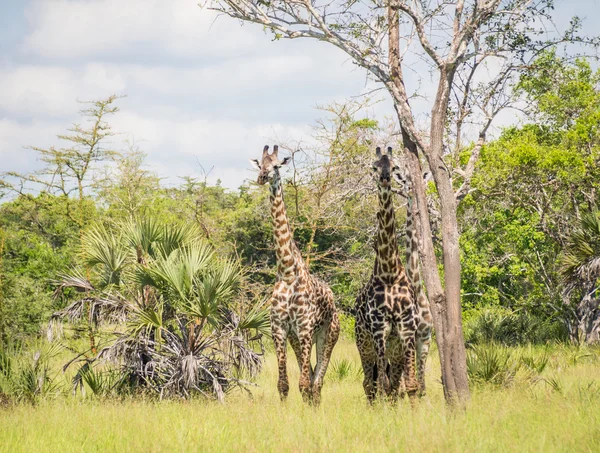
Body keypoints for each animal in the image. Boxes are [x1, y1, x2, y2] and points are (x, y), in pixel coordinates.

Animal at [251, 144, 340, 402]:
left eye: (276, 166)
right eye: (260, 163)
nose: (262, 177)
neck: (288, 270)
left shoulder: (305, 327)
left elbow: (304, 384)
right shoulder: (279, 329)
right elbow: (284, 384)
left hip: (328, 334)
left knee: (317, 381)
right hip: (297, 338)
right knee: (310, 376)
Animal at [352, 146, 418, 402]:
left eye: (394, 165)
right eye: (374, 166)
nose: (385, 178)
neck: (389, 272)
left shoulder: (406, 328)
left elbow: (409, 385)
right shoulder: (379, 329)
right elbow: (382, 384)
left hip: (393, 348)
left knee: (391, 383)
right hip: (364, 344)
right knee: (369, 383)